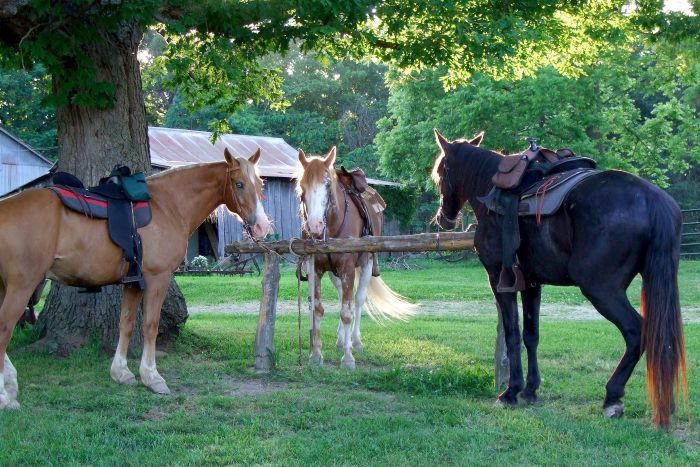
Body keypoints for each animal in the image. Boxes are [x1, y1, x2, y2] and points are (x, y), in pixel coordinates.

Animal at [0, 150, 270, 410]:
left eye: (260, 184)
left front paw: (121, 373)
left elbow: (126, 323)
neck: (168, 205)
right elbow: (150, 325)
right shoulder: (157, 278)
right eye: (239, 184)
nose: (262, 227)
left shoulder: (132, 282)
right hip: (21, 286)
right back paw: (5, 396)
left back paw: (10, 383)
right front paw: (152, 377)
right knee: (4, 328)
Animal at [296, 146, 416, 370]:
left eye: (327, 184)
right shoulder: (316, 270)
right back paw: (341, 339)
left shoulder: (348, 269)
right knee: (343, 297)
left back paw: (356, 341)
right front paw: (315, 355)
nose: (314, 226)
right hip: (336, 274)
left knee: (358, 301)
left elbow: (347, 312)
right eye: (301, 186)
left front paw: (348, 358)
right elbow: (317, 309)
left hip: (366, 264)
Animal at [430, 130, 688, 430]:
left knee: (637, 331)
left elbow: (512, 333)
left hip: (601, 289)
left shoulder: (499, 279)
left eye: (441, 172)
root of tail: (653, 200)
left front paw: (511, 392)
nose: (443, 219)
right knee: (662, 338)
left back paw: (612, 397)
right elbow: (531, 335)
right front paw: (531, 390)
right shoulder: (531, 283)